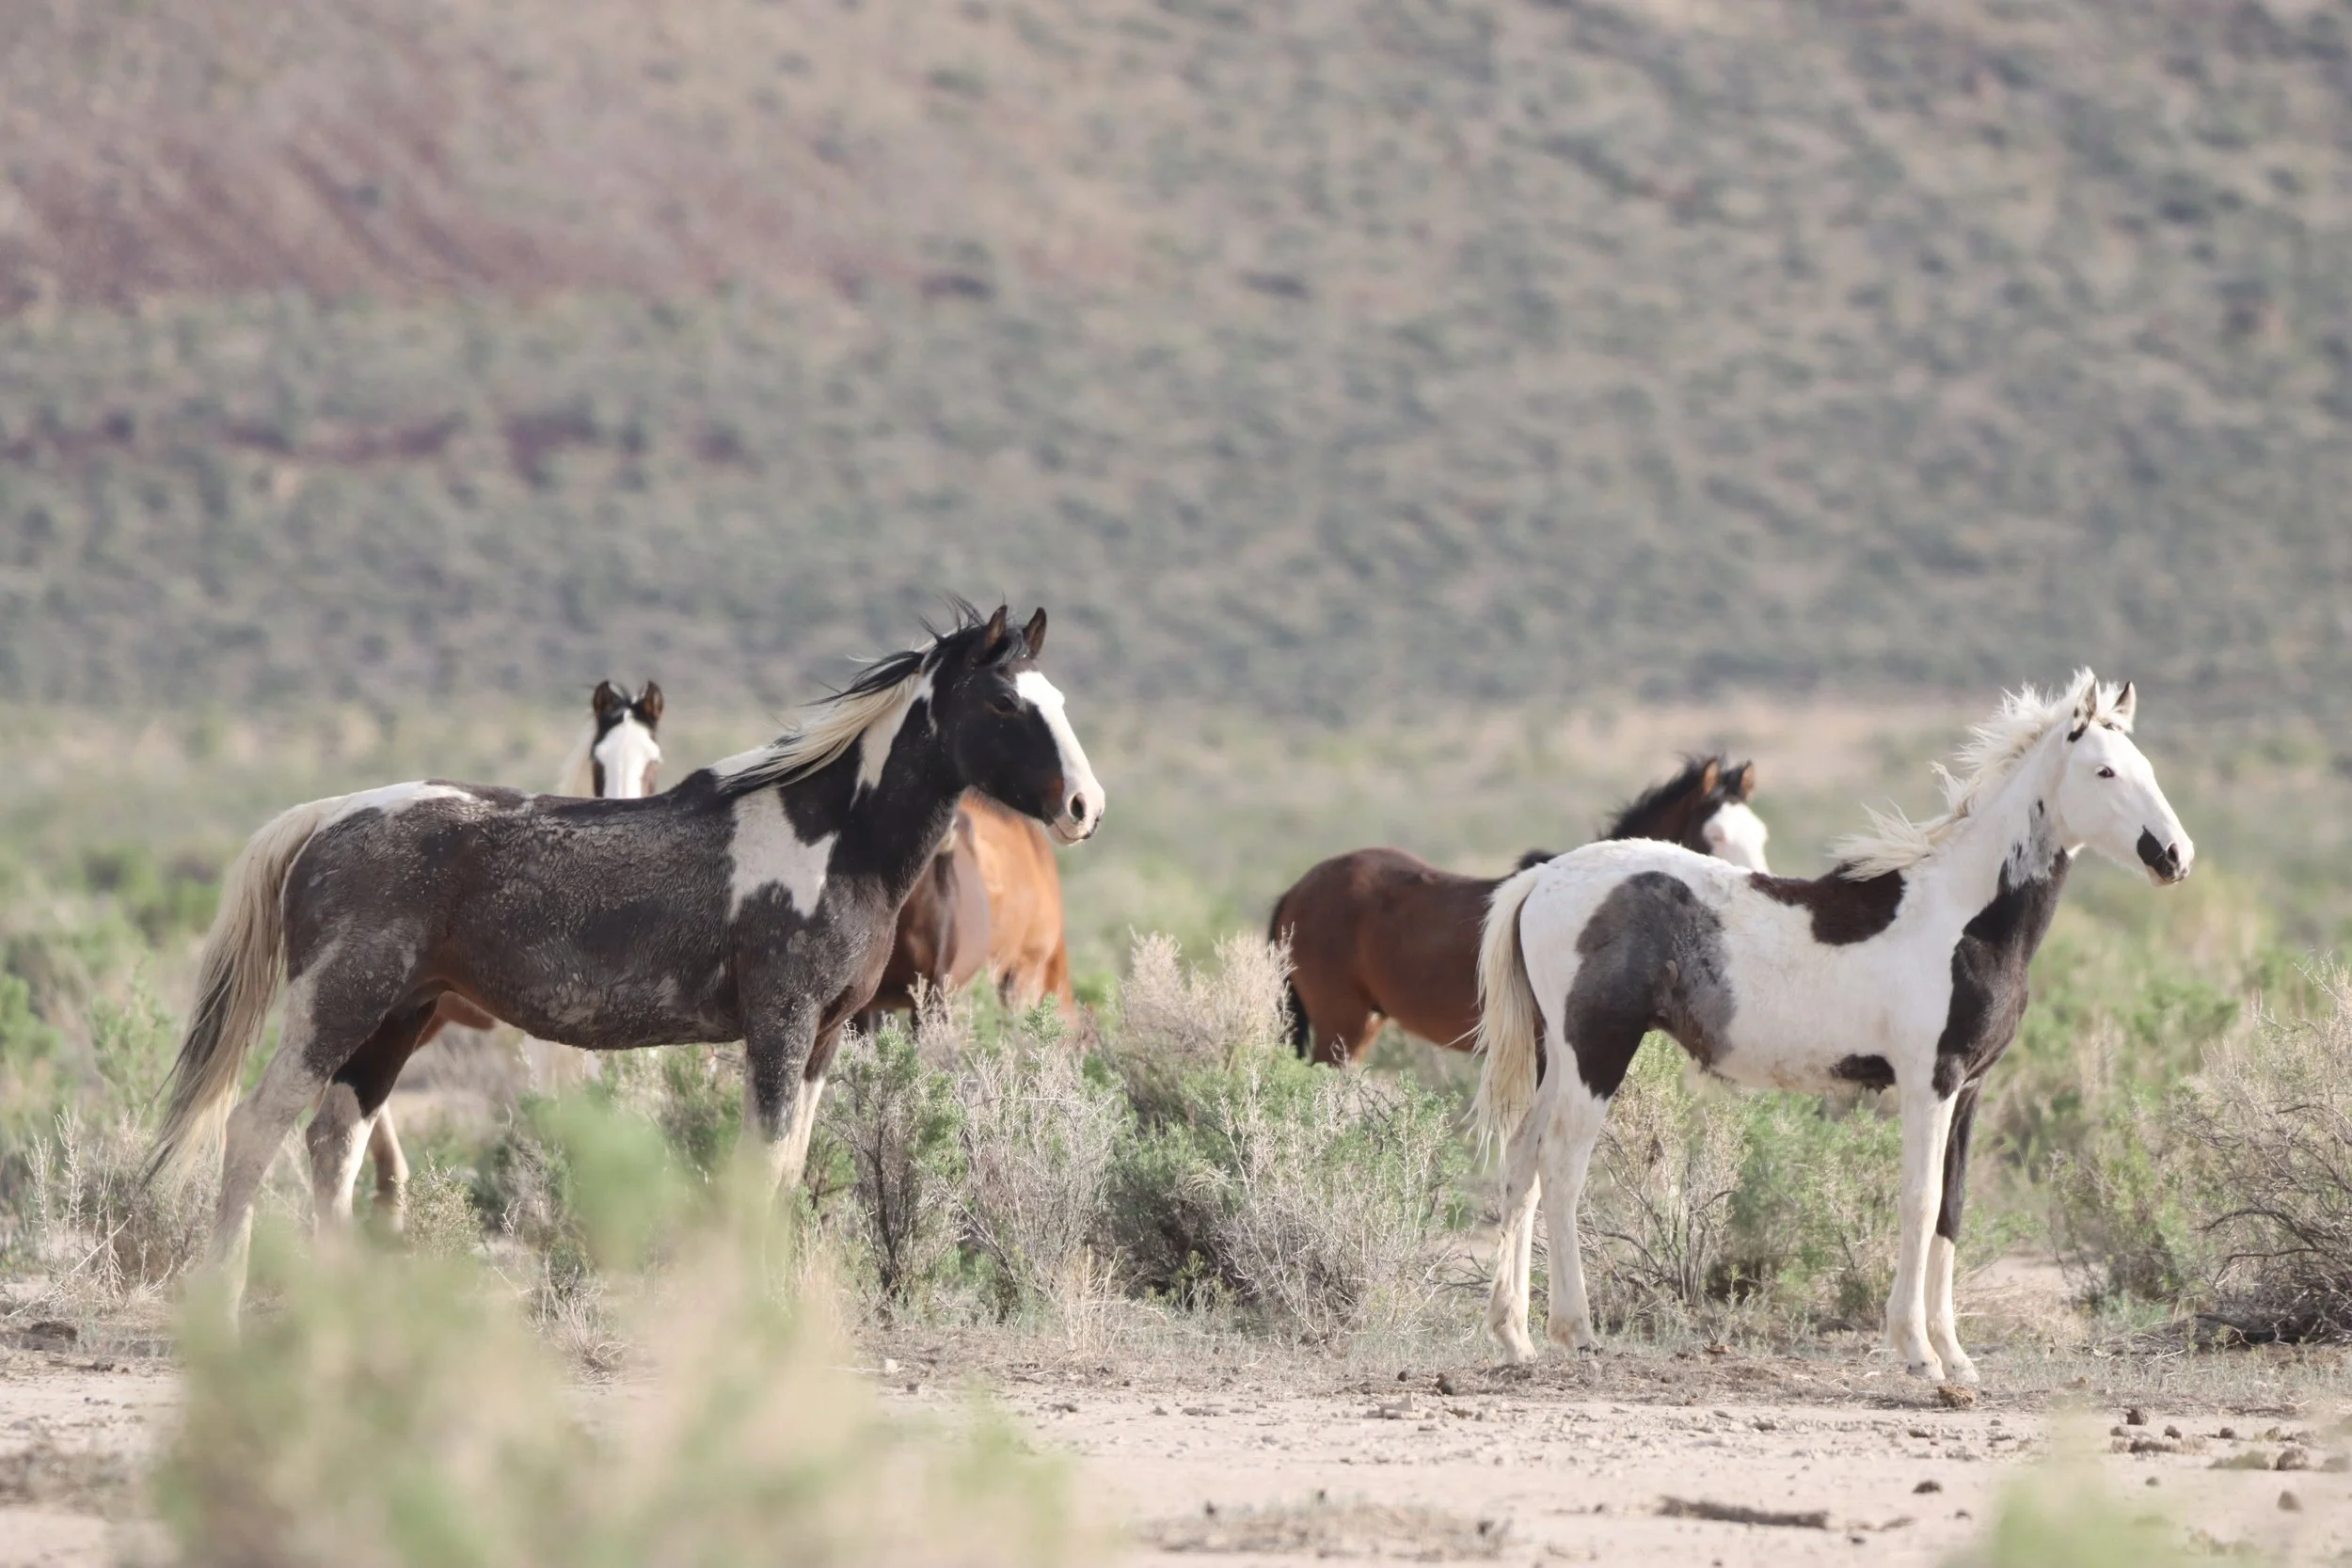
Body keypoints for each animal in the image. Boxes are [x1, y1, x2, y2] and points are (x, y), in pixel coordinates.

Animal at [146, 604, 1103, 1311]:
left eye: (1057, 695)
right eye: (1005, 703)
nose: (1085, 806)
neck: (832, 837)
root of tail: (328, 816)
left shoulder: (828, 1036)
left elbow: (787, 1174)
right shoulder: (780, 1026)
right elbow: (761, 1170)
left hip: (393, 1021)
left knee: (334, 1144)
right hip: (335, 1008)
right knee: (254, 1128)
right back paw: (223, 1304)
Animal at [1474, 673, 2191, 1383]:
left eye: (2148, 767)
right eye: (2104, 770)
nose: (2174, 856)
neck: (1962, 917)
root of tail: (1543, 877)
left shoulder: (1970, 1087)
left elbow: (1952, 1209)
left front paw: (1956, 1356)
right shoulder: (1929, 1082)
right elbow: (1920, 1200)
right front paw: (1917, 1350)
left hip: (1559, 1057)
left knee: (1522, 1165)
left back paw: (1516, 1338)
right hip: (1598, 1053)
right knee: (1562, 1168)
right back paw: (1576, 1331)